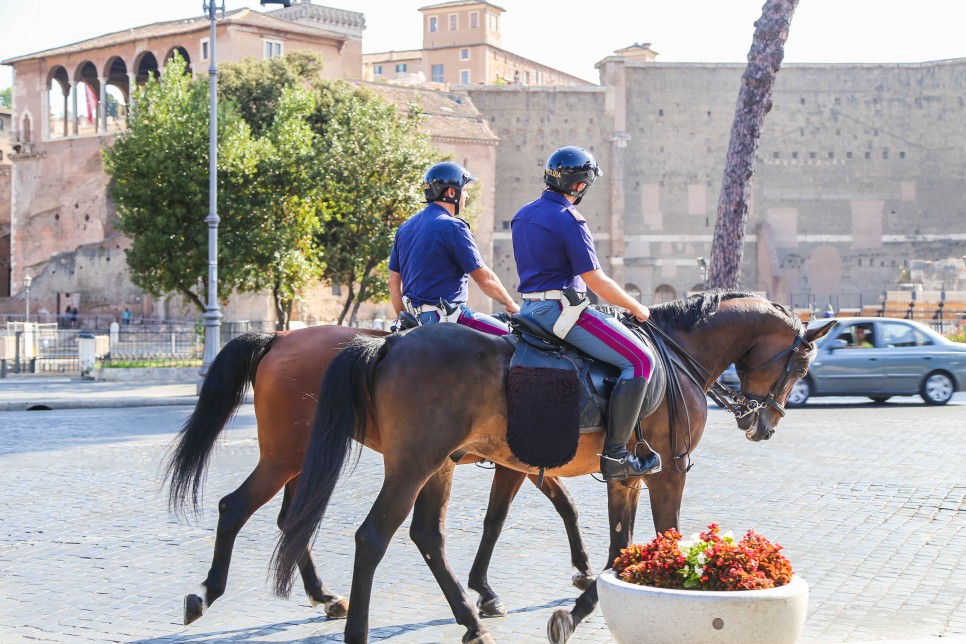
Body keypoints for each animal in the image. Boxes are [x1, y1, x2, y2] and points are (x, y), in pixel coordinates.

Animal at [163, 328, 592, 624]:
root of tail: (280, 336)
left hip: (304, 459)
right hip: (285, 457)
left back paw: (324, 596)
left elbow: (560, 506)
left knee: (291, 521)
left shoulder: (517, 462)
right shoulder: (516, 463)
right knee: (236, 507)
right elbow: (507, 517)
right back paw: (208, 592)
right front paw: (489, 590)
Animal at [274, 294, 840, 644]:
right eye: (801, 364)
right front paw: (581, 607)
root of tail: (389, 341)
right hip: (413, 464)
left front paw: (579, 607)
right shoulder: (668, 473)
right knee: (372, 537)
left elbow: (619, 549)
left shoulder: (626, 476)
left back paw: (471, 621)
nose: (765, 423)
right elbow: (666, 535)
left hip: (435, 467)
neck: (678, 355)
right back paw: (358, 625)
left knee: (427, 536)